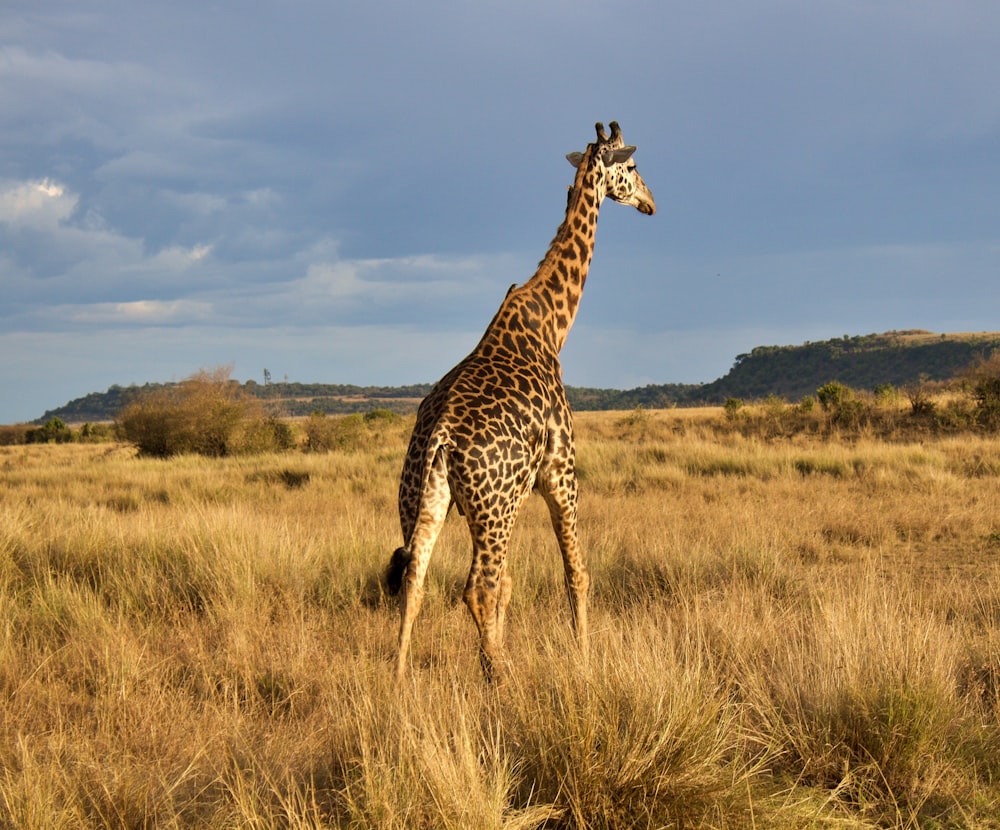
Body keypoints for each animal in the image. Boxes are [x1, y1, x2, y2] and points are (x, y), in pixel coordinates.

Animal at [384, 122, 656, 684]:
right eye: (634, 166)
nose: (651, 203)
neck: (552, 325)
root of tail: (440, 437)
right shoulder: (560, 472)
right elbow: (577, 573)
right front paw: (584, 657)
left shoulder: (521, 492)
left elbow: (512, 585)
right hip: (493, 508)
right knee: (477, 587)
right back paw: (500, 674)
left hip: (427, 498)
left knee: (415, 576)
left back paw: (400, 676)